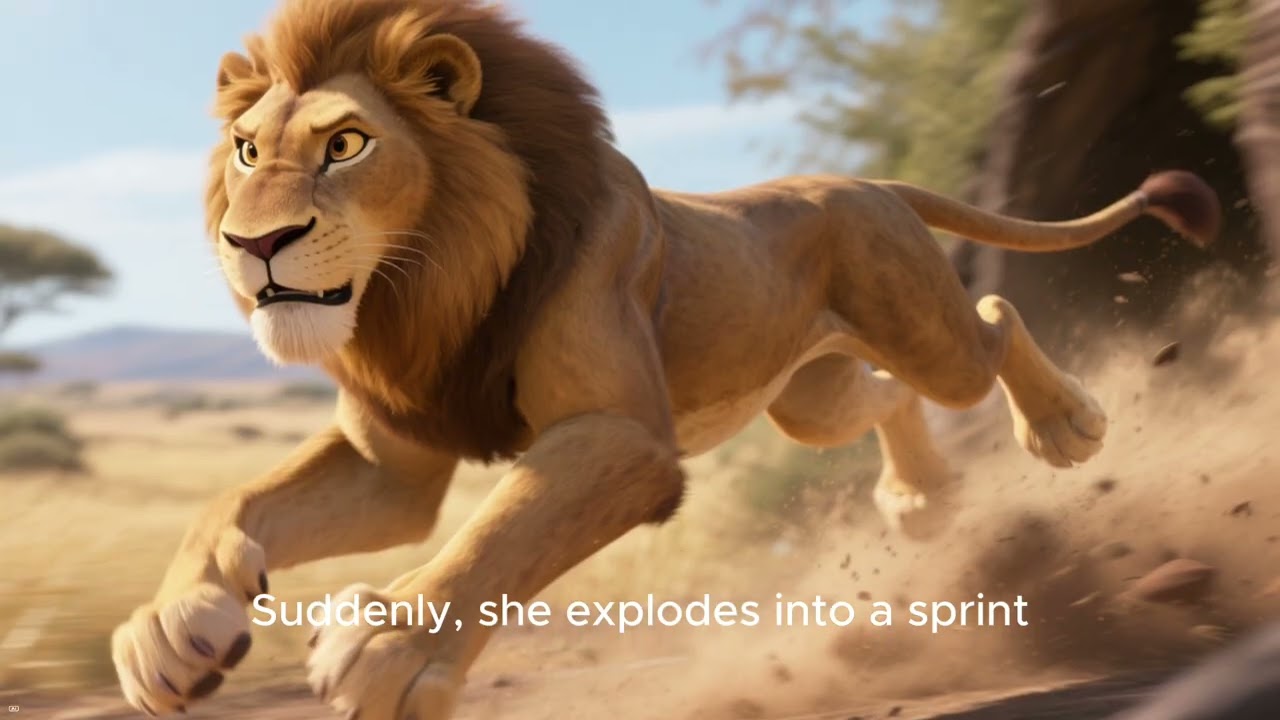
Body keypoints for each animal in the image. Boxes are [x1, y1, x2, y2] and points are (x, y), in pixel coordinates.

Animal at [108, 0, 1221, 717]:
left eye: (346, 145)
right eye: (247, 151)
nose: (251, 245)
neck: (424, 287)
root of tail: (867, 181)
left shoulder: (621, 439)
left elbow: (505, 529)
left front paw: (386, 645)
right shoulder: (395, 467)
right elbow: (235, 505)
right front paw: (173, 636)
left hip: (924, 333)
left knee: (988, 317)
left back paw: (1065, 425)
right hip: (806, 398)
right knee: (880, 399)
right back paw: (920, 500)